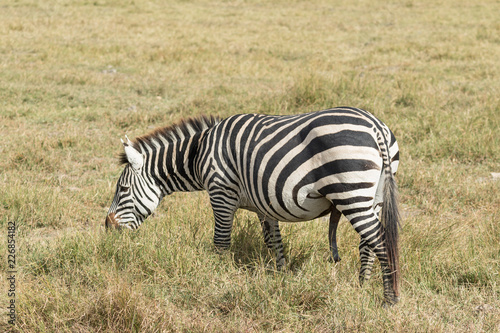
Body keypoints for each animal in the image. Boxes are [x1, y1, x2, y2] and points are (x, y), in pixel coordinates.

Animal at [106, 106, 402, 304]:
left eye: (122, 190)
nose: (107, 227)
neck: (198, 154)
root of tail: (374, 125)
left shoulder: (221, 192)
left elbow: (221, 242)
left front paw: (217, 278)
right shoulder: (264, 203)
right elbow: (274, 242)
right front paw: (281, 277)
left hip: (351, 191)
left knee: (379, 239)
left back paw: (389, 298)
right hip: (374, 197)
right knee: (367, 244)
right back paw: (362, 286)